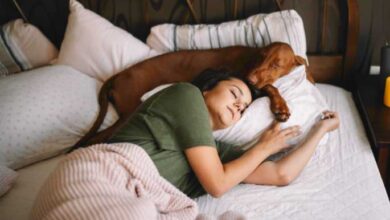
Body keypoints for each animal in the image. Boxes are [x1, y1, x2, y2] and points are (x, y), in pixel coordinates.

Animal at [72, 41, 314, 150]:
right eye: (260, 57)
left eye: (276, 65)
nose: (250, 78)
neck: (249, 58)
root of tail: (119, 74)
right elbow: (271, 87)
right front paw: (281, 106)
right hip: (129, 112)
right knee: (98, 138)